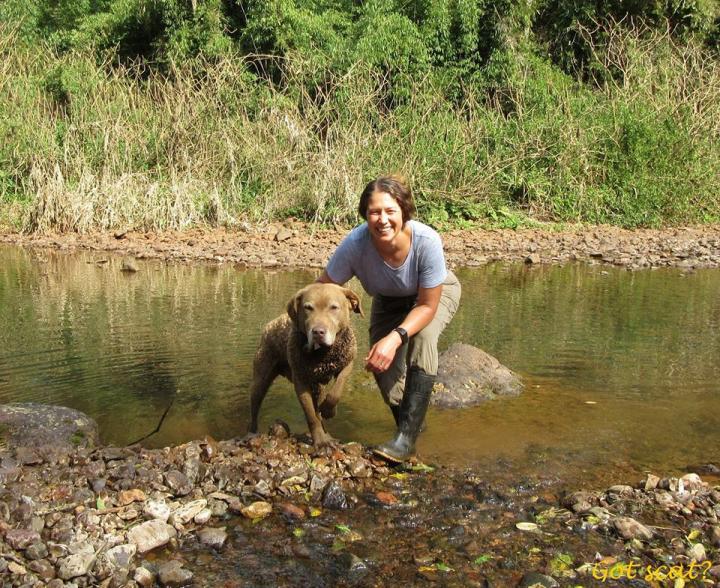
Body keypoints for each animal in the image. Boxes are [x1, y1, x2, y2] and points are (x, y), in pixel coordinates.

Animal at [249, 284, 362, 446]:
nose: (318, 332)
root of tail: (270, 324)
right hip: (261, 376)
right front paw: (320, 440)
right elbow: (310, 415)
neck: (323, 355)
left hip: (317, 387)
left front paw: (329, 411)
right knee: (254, 406)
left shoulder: (347, 361)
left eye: (334, 307)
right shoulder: (301, 381)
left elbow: (336, 391)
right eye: (308, 307)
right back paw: (251, 433)